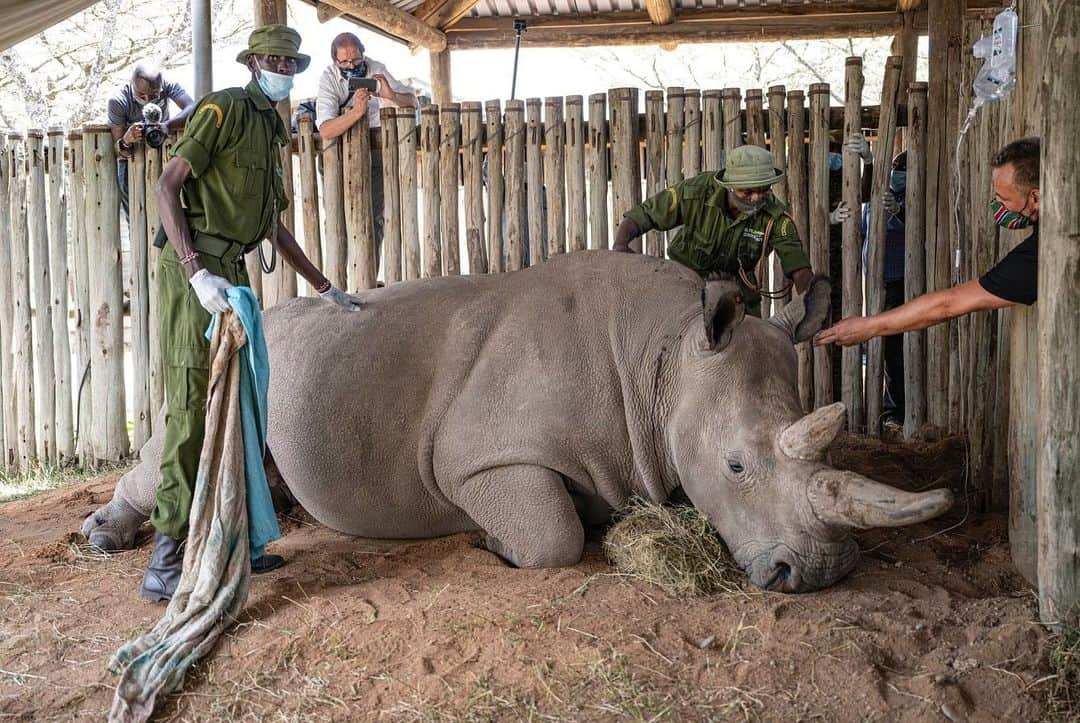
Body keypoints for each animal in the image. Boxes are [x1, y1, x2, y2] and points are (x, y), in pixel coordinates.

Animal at [82, 250, 954, 587]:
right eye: (737, 464)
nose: (819, 572)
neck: (666, 357)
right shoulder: (481, 458)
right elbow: (553, 536)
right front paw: (493, 544)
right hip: (231, 355)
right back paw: (102, 538)